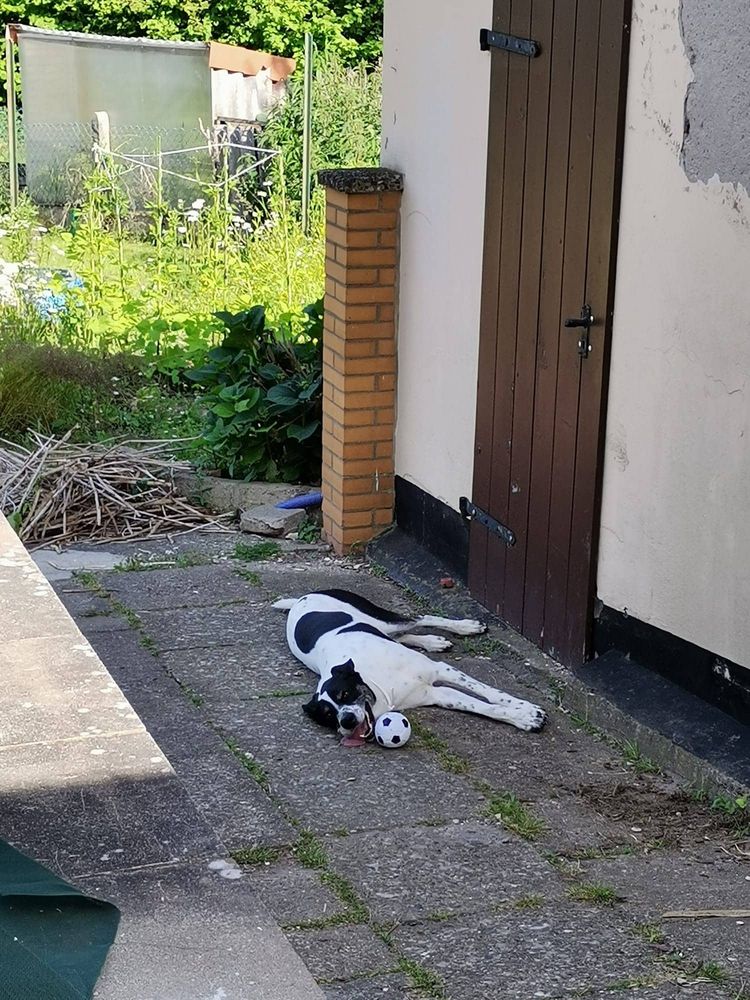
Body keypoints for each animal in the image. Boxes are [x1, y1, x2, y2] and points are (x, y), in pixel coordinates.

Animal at [274, 588, 548, 748]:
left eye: (345, 693)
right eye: (328, 716)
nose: (347, 721)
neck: (381, 685)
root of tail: (302, 597)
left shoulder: (441, 670)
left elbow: (492, 693)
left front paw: (525, 709)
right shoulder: (438, 694)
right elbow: (484, 707)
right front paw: (524, 717)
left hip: (382, 618)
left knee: (419, 619)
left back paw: (466, 626)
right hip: (383, 627)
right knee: (404, 634)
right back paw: (433, 641)